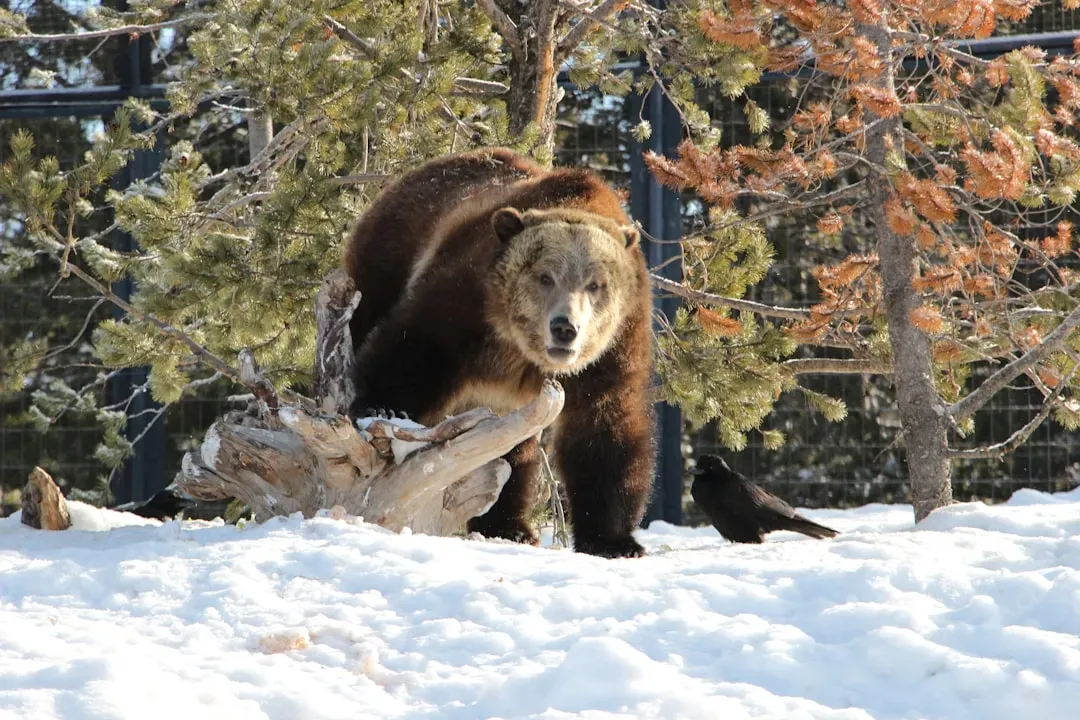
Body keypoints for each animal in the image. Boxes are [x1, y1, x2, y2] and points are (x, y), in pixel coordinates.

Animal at [344, 148, 655, 558]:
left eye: (595, 284)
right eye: (545, 276)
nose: (565, 328)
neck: (522, 350)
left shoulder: (614, 347)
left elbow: (605, 429)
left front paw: (614, 540)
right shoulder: (471, 297)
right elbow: (416, 348)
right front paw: (383, 408)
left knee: (508, 454)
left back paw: (508, 525)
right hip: (389, 255)